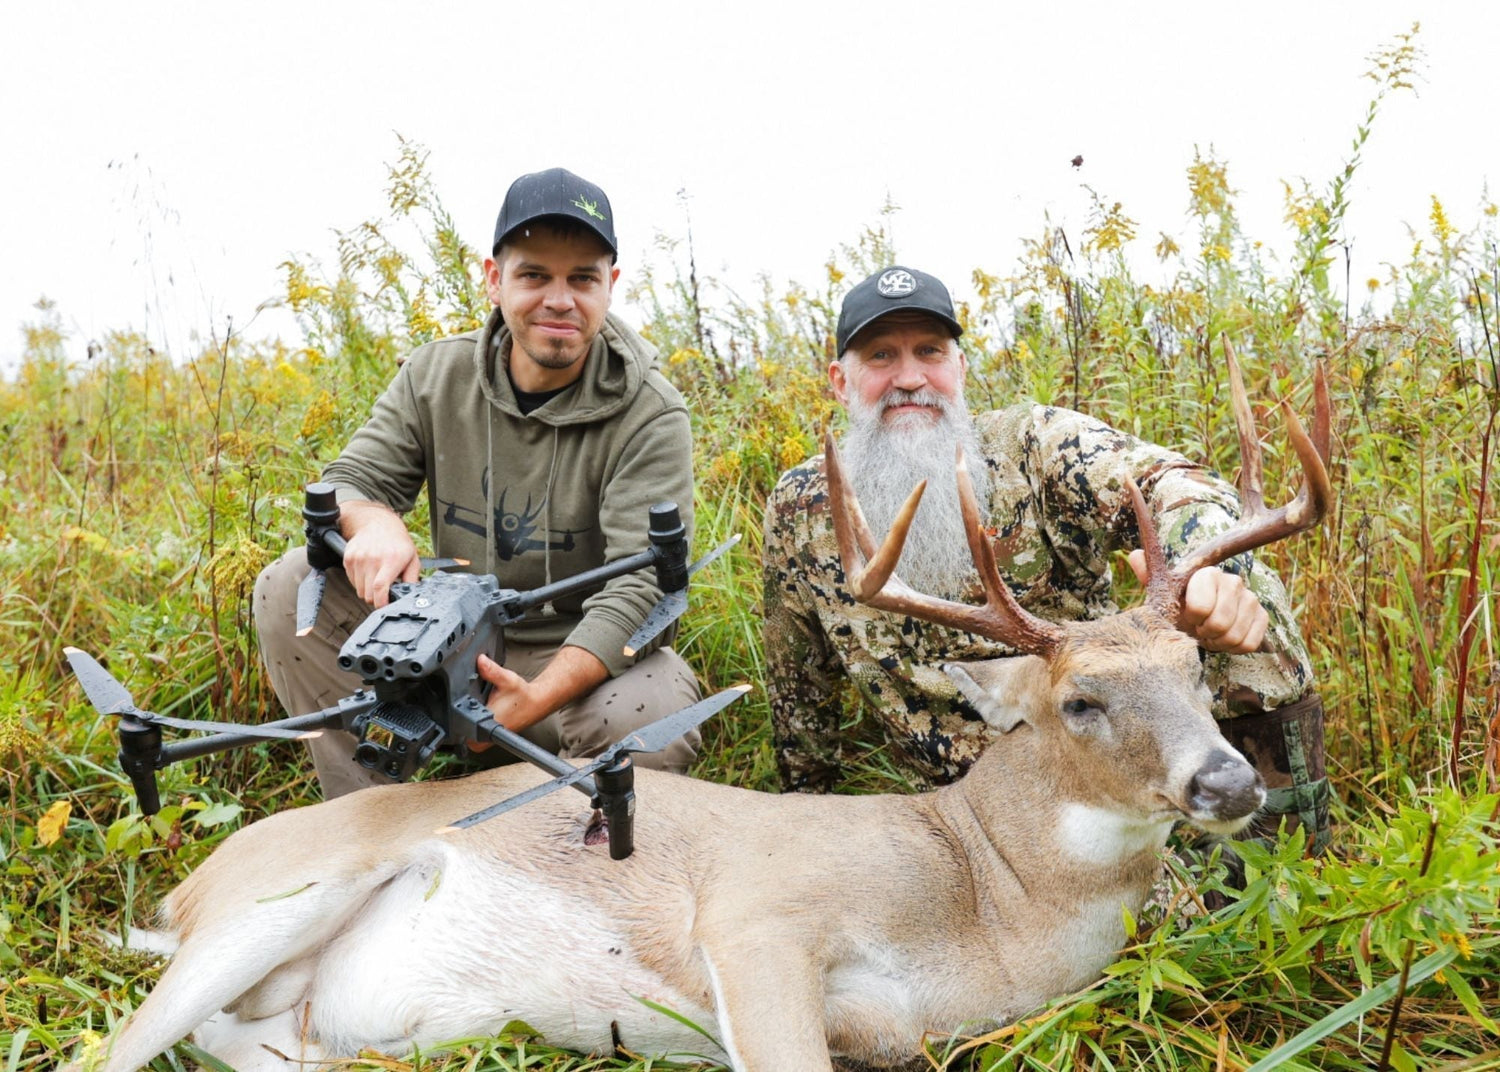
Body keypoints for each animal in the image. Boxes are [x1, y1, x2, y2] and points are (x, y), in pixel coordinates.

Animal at [63, 357, 1331, 1072]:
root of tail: (179, 892)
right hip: (268, 904)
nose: (1229, 782)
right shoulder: (760, 917)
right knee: (105, 1050)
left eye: (1195, 663)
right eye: (1081, 698)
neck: (985, 893)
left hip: (315, 1025)